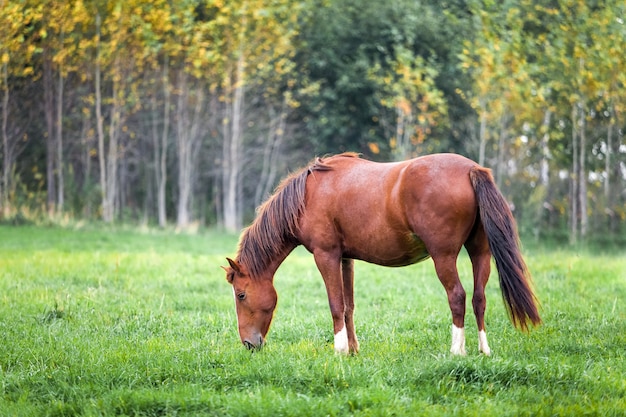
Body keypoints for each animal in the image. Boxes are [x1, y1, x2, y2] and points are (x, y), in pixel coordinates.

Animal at [222, 153, 540, 354]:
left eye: (241, 295)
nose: (248, 344)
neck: (308, 195)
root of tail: (471, 170)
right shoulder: (345, 258)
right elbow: (348, 306)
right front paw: (353, 350)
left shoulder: (326, 256)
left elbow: (335, 304)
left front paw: (339, 350)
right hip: (479, 253)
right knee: (479, 298)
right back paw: (483, 350)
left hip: (444, 256)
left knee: (458, 297)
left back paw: (457, 350)